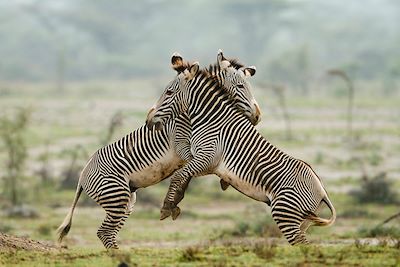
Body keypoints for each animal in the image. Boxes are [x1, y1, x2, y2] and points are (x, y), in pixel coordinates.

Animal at [57, 50, 262, 251]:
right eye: (241, 86)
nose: (257, 116)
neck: (189, 114)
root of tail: (82, 175)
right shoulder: (184, 147)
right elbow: (190, 171)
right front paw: (174, 202)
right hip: (116, 195)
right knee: (104, 232)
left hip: (126, 199)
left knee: (109, 232)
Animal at [145, 57, 336, 246]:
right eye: (240, 86)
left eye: (169, 92)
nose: (148, 120)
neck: (211, 118)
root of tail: (322, 191)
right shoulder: (200, 160)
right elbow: (183, 175)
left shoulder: (207, 158)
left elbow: (178, 175)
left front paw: (167, 206)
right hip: (301, 221)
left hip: (285, 213)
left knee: (303, 246)